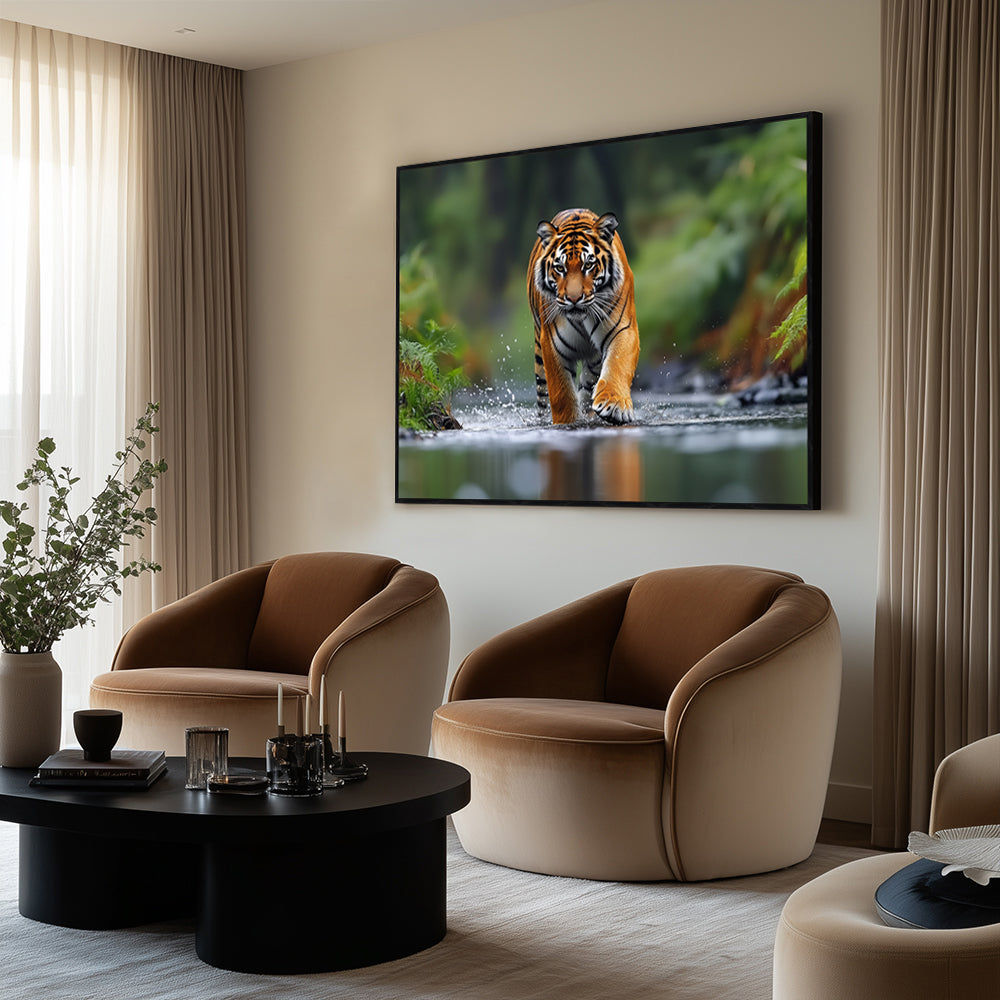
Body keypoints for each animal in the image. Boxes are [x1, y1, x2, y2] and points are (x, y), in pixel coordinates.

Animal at [527, 208, 640, 425]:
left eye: (588, 265)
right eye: (560, 268)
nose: (573, 298)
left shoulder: (623, 328)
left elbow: (618, 364)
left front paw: (615, 406)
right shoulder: (552, 345)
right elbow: (561, 393)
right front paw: (567, 421)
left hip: (594, 364)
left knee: (588, 389)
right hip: (539, 364)